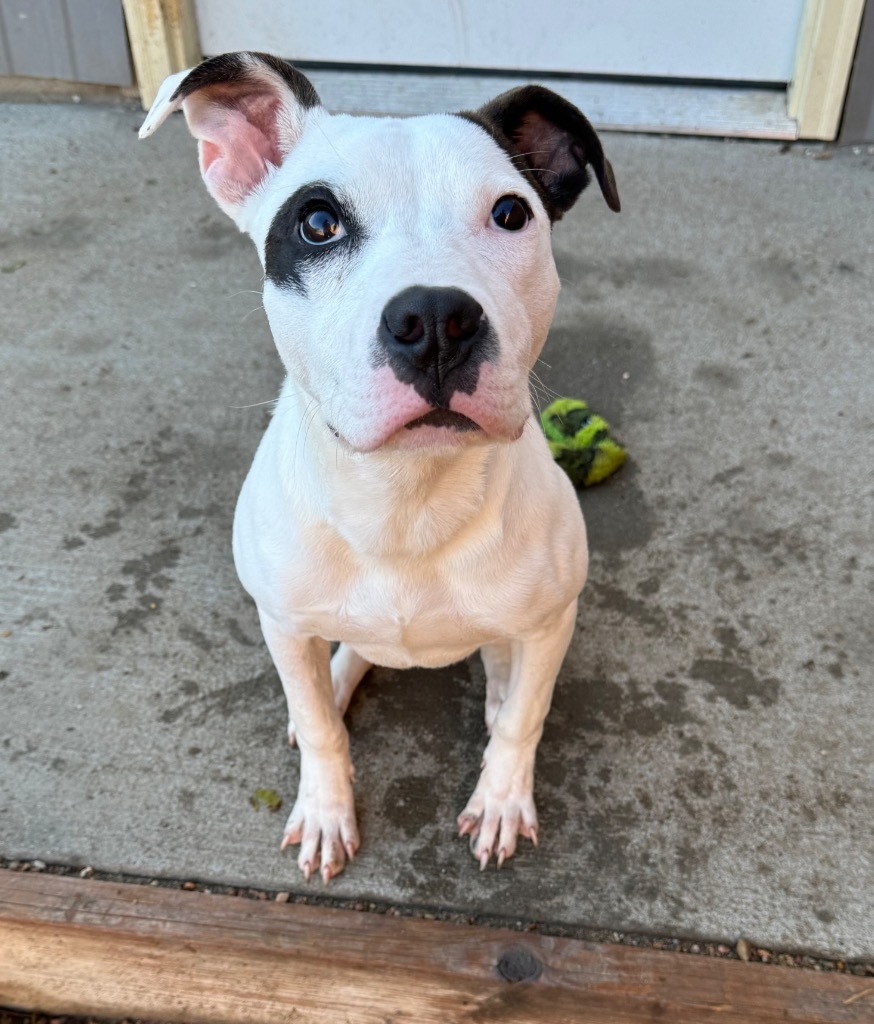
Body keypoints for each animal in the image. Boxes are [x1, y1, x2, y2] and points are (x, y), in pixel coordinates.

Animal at [140, 49, 618, 880]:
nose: (435, 318)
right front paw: (327, 808)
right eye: (317, 223)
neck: (406, 499)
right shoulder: (279, 621)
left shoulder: (553, 619)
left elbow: (524, 719)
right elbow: (319, 727)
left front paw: (501, 796)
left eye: (511, 214)